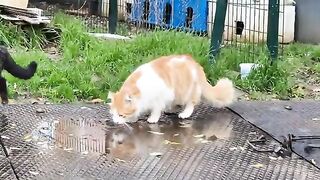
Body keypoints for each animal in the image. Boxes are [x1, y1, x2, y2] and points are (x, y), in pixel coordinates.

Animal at [107, 54, 235, 124]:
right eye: (113, 114)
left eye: (121, 115)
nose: (115, 121)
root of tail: (196, 64)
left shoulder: (159, 98)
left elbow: (156, 110)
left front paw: (152, 119)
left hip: (186, 92)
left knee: (191, 104)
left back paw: (185, 114)